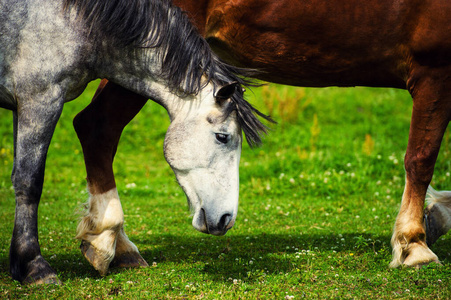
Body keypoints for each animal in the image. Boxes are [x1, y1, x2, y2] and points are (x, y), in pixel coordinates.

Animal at [75, 0, 451, 272]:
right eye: (223, 138)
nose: (225, 219)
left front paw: (436, 217)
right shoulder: (434, 70)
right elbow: (421, 158)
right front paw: (414, 244)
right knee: (96, 127)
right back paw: (109, 241)